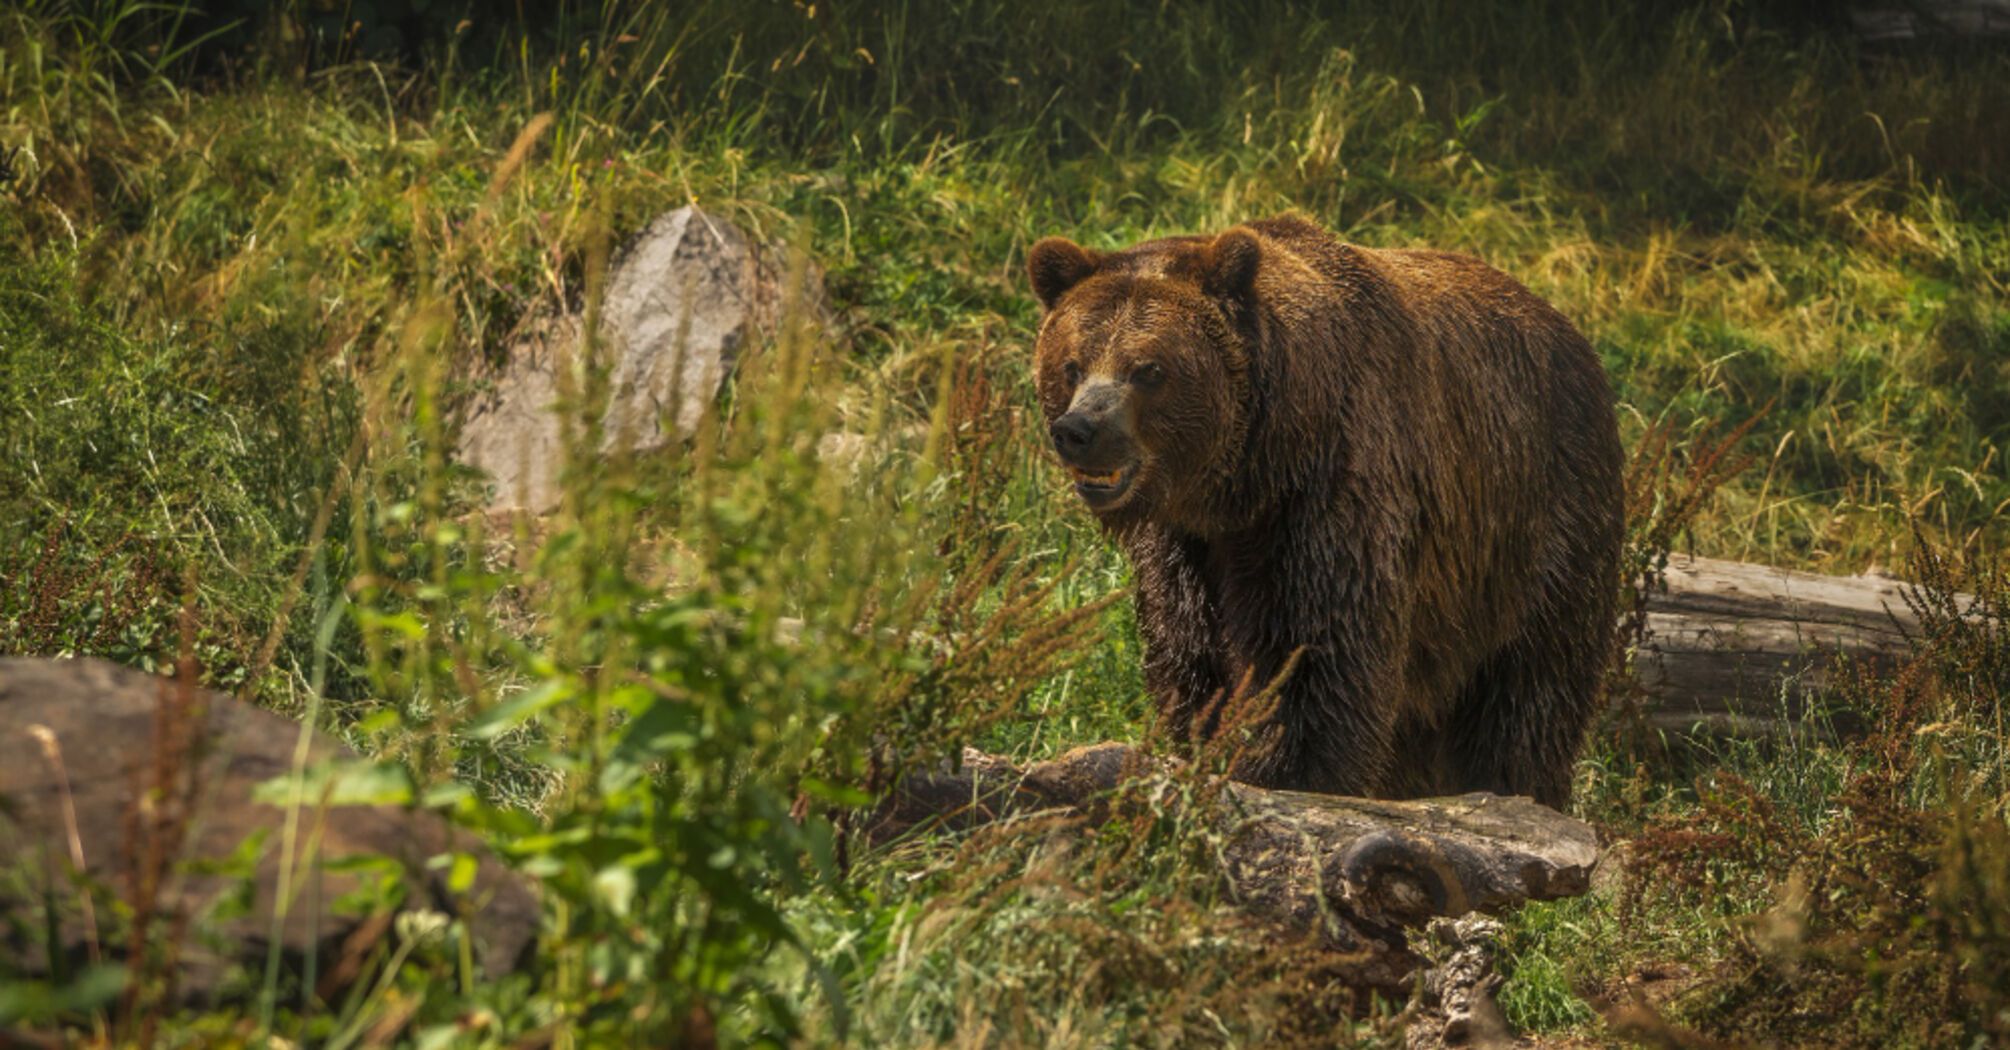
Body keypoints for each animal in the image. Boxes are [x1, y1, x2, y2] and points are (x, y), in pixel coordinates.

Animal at [1029, 212, 1624, 800]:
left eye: (1149, 369)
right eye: (1072, 364)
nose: (1080, 430)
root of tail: (1573, 333)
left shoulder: (1329, 497)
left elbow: (1317, 654)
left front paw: (1283, 771)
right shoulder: (1186, 545)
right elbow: (1189, 652)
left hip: (1538, 524)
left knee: (1531, 688)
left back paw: (1515, 784)